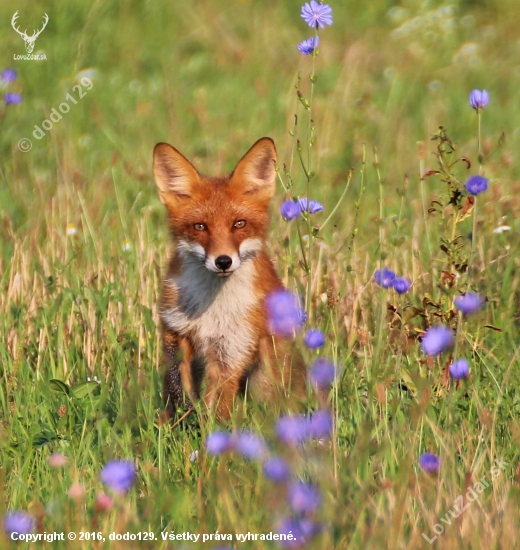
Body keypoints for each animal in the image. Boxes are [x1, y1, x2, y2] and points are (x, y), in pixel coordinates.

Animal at [152, 139, 306, 422]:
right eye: (200, 226)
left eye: (239, 224)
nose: (223, 261)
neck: (211, 310)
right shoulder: (174, 330)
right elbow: (177, 384)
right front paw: (180, 419)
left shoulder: (232, 349)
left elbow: (217, 406)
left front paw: (210, 433)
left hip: (265, 378)